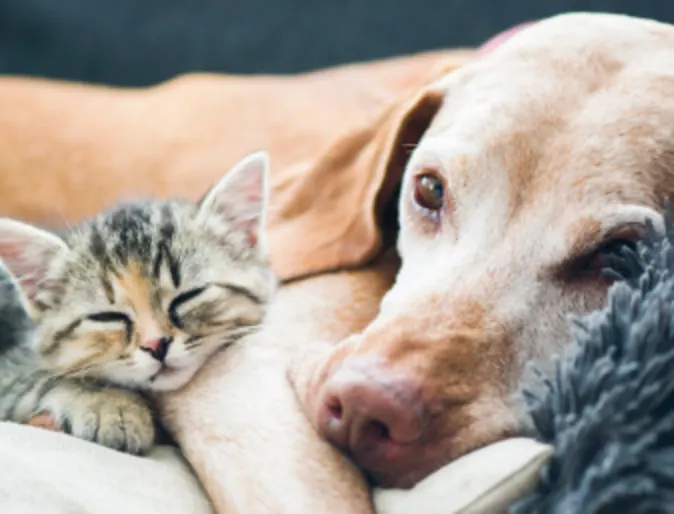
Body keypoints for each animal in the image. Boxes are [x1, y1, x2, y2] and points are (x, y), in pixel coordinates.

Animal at [0, 149, 276, 452]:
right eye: (107, 317)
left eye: (188, 296)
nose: (156, 345)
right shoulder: (11, 367)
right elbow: (42, 377)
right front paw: (111, 404)